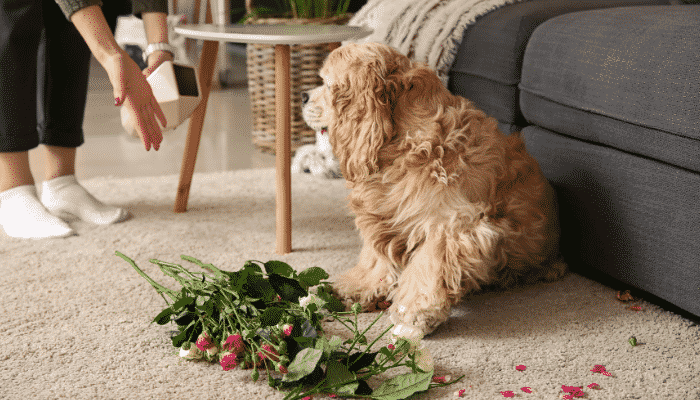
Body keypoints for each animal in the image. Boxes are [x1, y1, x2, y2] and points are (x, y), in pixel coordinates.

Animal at [304, 42, 568, 336]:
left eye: (327, 84)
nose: (302, 96)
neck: (402, 141)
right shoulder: (384, 216)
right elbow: (376, 257)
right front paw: (357, 288)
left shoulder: (450, 225)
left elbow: (429, 265)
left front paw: (415, 313)